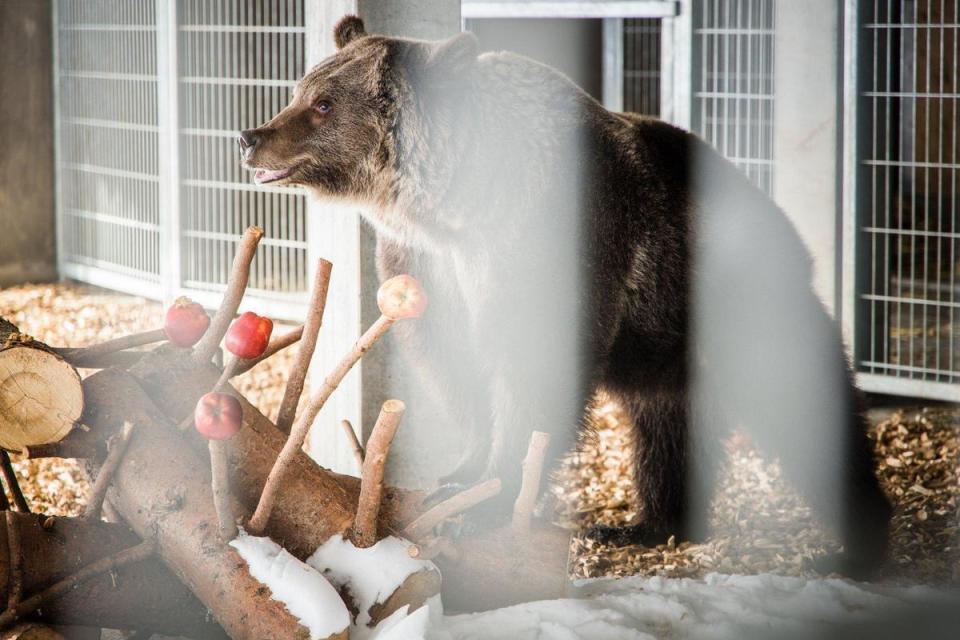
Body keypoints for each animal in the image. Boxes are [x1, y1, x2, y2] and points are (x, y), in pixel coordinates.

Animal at [238, 15, 892, 576]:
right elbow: (457, 369)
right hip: (664, 348)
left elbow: (532, 370)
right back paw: (647, 523)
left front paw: (483, 501)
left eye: (324, 104)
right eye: (300, 88)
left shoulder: (554, 242)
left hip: (744, 304)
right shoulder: (429, 267)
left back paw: (856, 543)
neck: (458, 209)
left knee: (805, 408)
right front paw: (461, 474)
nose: (250, 135)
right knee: (665, 425)